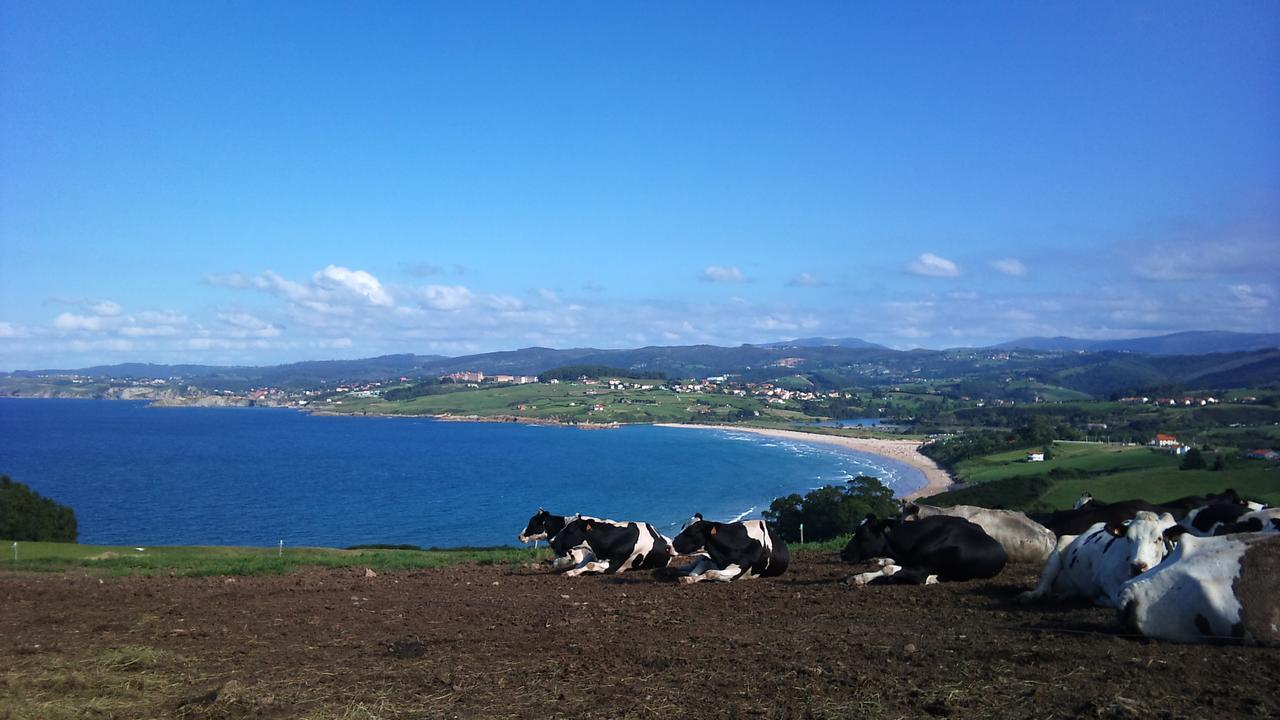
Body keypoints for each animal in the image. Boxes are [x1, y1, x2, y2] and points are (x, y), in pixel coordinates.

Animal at [545, 512, 675, 573]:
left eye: (570, 530)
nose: (552, 541)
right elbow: (580, 565)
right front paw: (571, 572)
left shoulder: (614, 566)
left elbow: (590, 565)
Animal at [1018, 509, 1177, 604]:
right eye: (1128, 538)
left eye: (1159, 538)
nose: (1138, 566)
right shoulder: (1104, 577)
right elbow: (1116, 598)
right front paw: (1100, 598)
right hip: (1061, 545)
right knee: (1044, 584)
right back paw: (1032, 594)